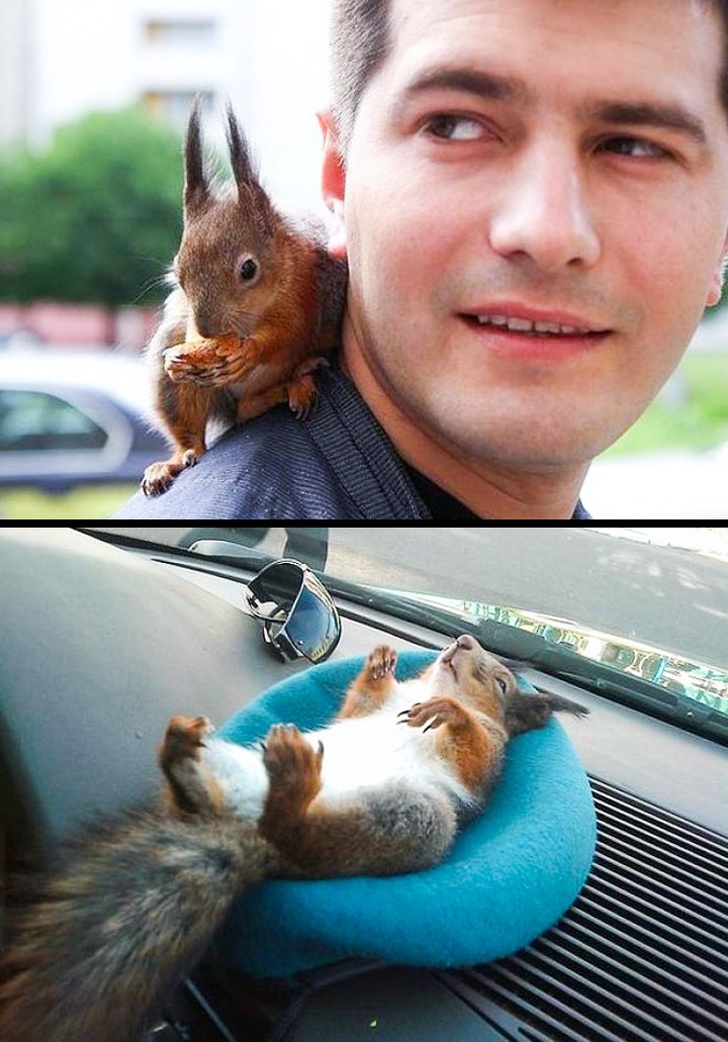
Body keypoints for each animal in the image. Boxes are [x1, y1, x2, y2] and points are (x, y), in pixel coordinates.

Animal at [0, 629, 591, 1037]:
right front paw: (380, 661)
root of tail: (253, 840)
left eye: (499, 682)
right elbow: (361, 704)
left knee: (298, 840)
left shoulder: (483, 764)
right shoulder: (370, 710)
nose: (462, 640)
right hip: (238, 769)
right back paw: (185, 758)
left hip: (413, 817)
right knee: (197, 804)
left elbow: (473, 744)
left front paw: (445, 708)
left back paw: (290, 789)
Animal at [142, 101, 349, 495]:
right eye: (178, 271)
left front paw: (250, 351)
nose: (208, 329)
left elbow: (286, 334)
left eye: (248, 269)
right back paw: (173, 461)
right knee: (198, 431)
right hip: (176, 391)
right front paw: (181, 358)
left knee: (251, 408)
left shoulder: (305, 293)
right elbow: (188, 339)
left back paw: (296, 381)